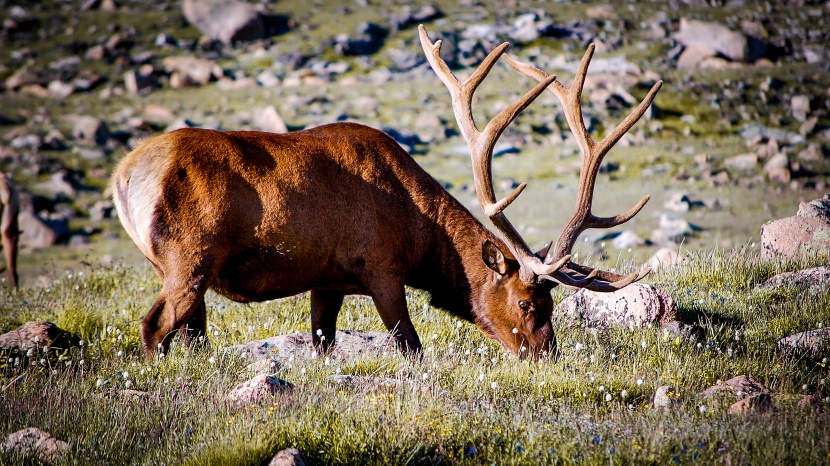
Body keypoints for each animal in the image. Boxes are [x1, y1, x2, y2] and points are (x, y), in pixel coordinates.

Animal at [110, 24, 664, 360]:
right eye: (530, 304)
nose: (547, 355)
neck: (420, 236)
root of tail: (124, 176)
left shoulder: (326, 280)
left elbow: (323, 342)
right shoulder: (380, 266)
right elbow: (411, 345)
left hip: (177, 268)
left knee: (190, 333)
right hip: (189, 257)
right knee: (153, 326)